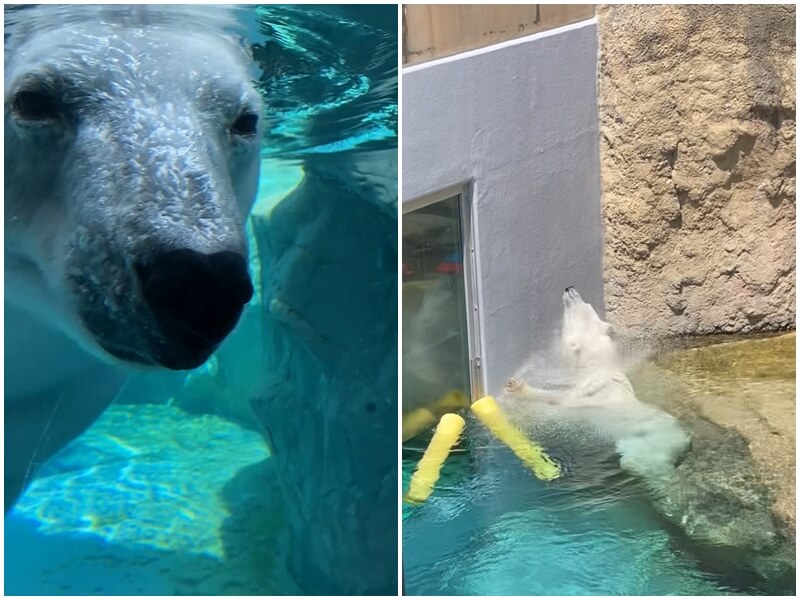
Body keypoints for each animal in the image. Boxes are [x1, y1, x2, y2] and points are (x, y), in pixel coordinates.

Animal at [505, 287, 691, 489]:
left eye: (581, 306)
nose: (569, 289)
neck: (597, 366)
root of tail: (684, 442)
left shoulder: (590, 393)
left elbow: (561, 402)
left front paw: (517, 389)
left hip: (650, 440)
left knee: (641, 462)